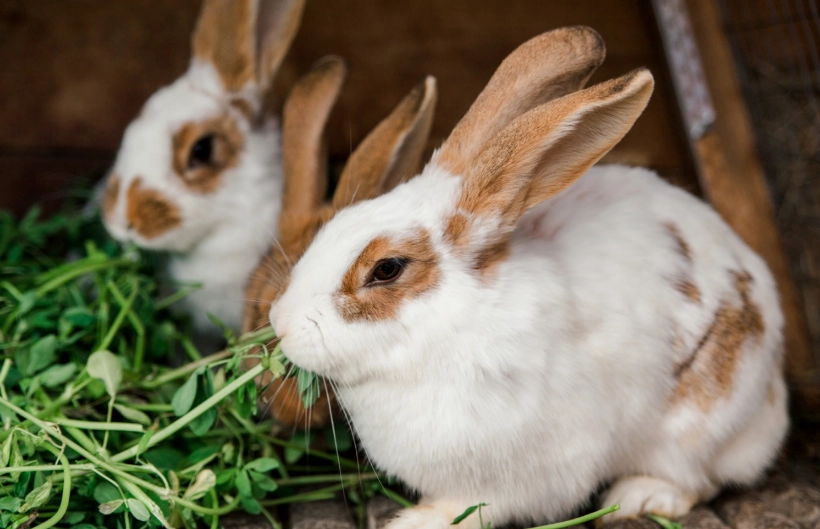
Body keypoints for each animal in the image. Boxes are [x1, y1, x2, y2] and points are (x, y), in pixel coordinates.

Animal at [266, 26, 789, 527]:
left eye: (386, 269)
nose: (280, 323)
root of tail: (775, 397)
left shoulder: (528, 471)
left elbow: (479, 507)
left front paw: (416, 521)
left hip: (698, 422)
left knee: (699, 478)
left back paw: (640, 497)